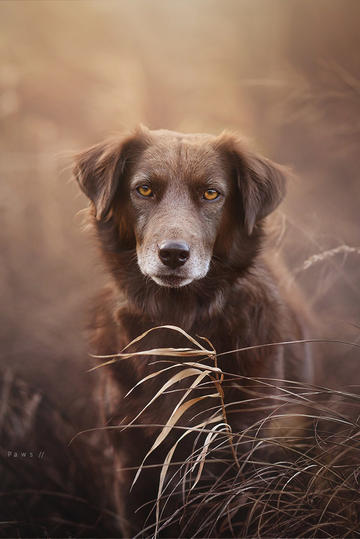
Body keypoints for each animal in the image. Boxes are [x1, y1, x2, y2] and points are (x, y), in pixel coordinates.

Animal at [74, 125, 316, 536]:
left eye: (211, 193)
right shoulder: (132, 468)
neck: (180, 322)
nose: (173, 254)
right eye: (144, 190)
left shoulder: (251, 460)